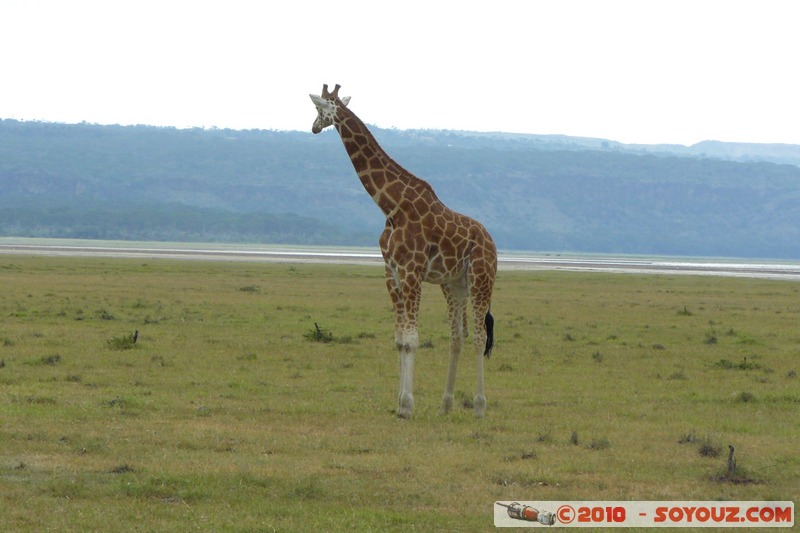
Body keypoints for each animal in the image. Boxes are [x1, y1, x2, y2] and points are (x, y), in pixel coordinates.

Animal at [310, 83, 496, 418]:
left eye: (320, 109)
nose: (314, 127)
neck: (391, 205)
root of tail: (493, 243)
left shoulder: (412, 271)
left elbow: (411, 339)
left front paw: (408, 405)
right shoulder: (392, 273)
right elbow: (399, 340)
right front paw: (399, 404)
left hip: (482, 279)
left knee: (478, 336)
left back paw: (478, 406)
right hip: (455, 284)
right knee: (457, 337)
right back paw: (445, 405)